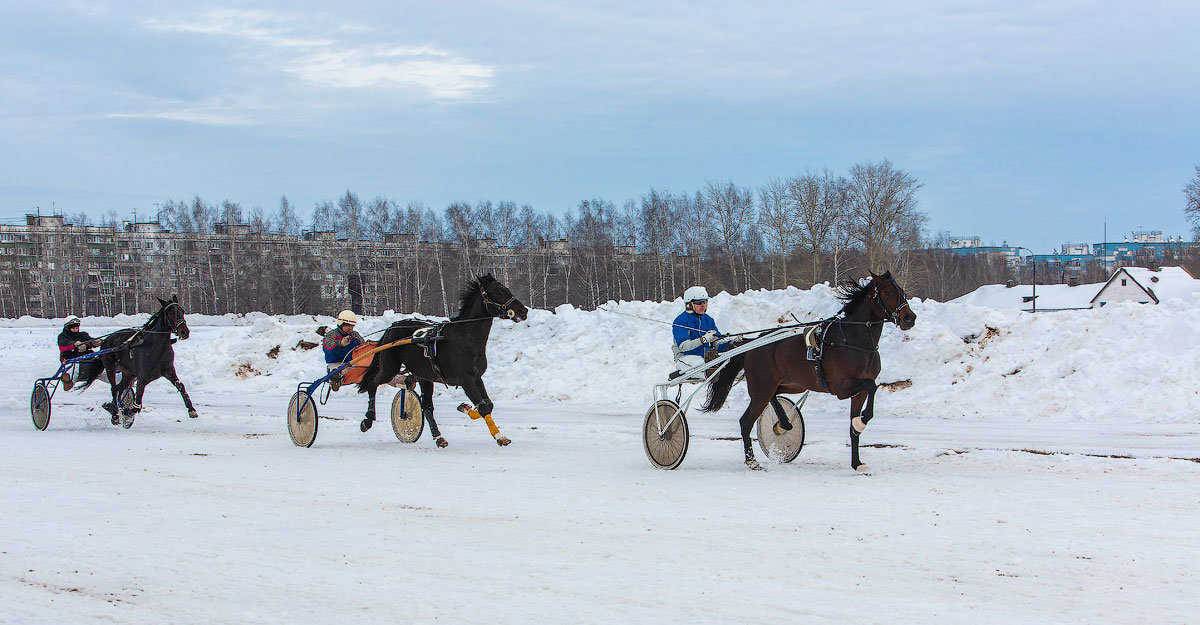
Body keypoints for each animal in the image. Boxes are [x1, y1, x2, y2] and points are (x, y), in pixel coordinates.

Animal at [74, 296, 195, 424]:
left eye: (182, 311)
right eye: (171, 312)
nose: (185, 332)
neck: (156, 347)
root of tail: (106, 340)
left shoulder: (168, 370)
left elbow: (180, 386)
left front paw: (191, 409)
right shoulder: (142, 377)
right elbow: (137, 405)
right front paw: (127, 412)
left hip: (128, 372)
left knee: (120, 388)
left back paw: (113, 408)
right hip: (110, 367)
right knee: (114, 388)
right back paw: (115, 414)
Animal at [352, 273, 528, 443]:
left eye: (506, 288)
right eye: (498, 291)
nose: (523, 311)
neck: (466, 339)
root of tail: (392, 327)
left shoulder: (477, 378)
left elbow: (488, 405)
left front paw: (465, 407)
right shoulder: (465, 379)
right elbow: (484, 407)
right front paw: (500, 437)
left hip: (424, 376)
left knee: (426, 406)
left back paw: (438, 437)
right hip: (389, 368)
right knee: (373, 382)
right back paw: (367, 420)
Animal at [700, 269, 912, 470]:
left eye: (901, 291)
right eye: (886, 291)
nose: (910, 318)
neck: (853, 341)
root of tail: (753, 344)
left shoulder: (857, 393)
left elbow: (856, 423)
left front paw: (857, 461)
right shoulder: (842, 388)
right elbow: (871, 386)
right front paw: (861, 421)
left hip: (792, 384)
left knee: (774, 397)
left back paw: (784, 423)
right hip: (761, 388)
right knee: (746, 421)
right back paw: (752, 460)